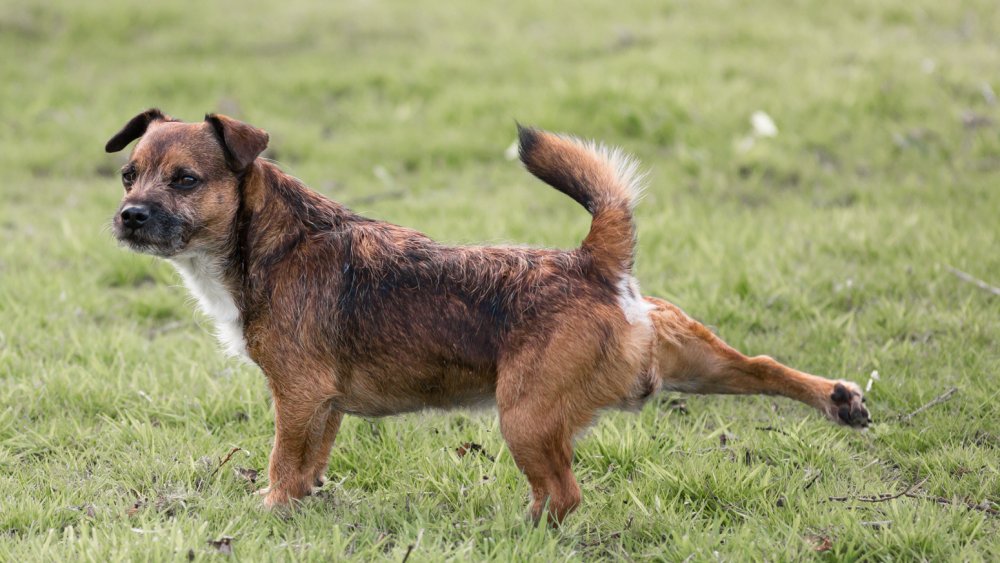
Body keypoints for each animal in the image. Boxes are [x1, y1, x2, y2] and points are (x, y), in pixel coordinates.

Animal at [107, 109, 868, 524]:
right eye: (128, 174)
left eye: (185, 180)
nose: (128, 215)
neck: (270, 239)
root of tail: (595, 263)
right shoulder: (319, 407)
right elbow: (306, 466)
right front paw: (299, 508)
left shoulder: (296, 397)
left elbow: (280, 464)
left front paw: (268, 515)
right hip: (694, 360)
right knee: (764, 366)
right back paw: (839, 400)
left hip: (524, 417)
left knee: (563, 494)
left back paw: (522, 531)